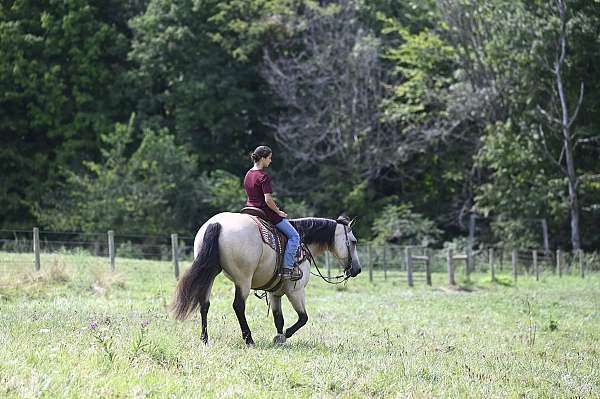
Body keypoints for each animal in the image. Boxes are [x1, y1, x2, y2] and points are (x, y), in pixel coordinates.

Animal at [171, 212, 364, 346]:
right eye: (354, 241)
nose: (357, 269)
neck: (303, 242)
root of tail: (216, 223)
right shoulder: (295, 290)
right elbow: (303, 318)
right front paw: (283, 336)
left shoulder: (275, 293)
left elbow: (279, 319)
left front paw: (280, 337)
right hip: (243, 279)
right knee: (238, 306)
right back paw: (249, 339)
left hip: (210, 272)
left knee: (204, 304)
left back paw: (205, 339)